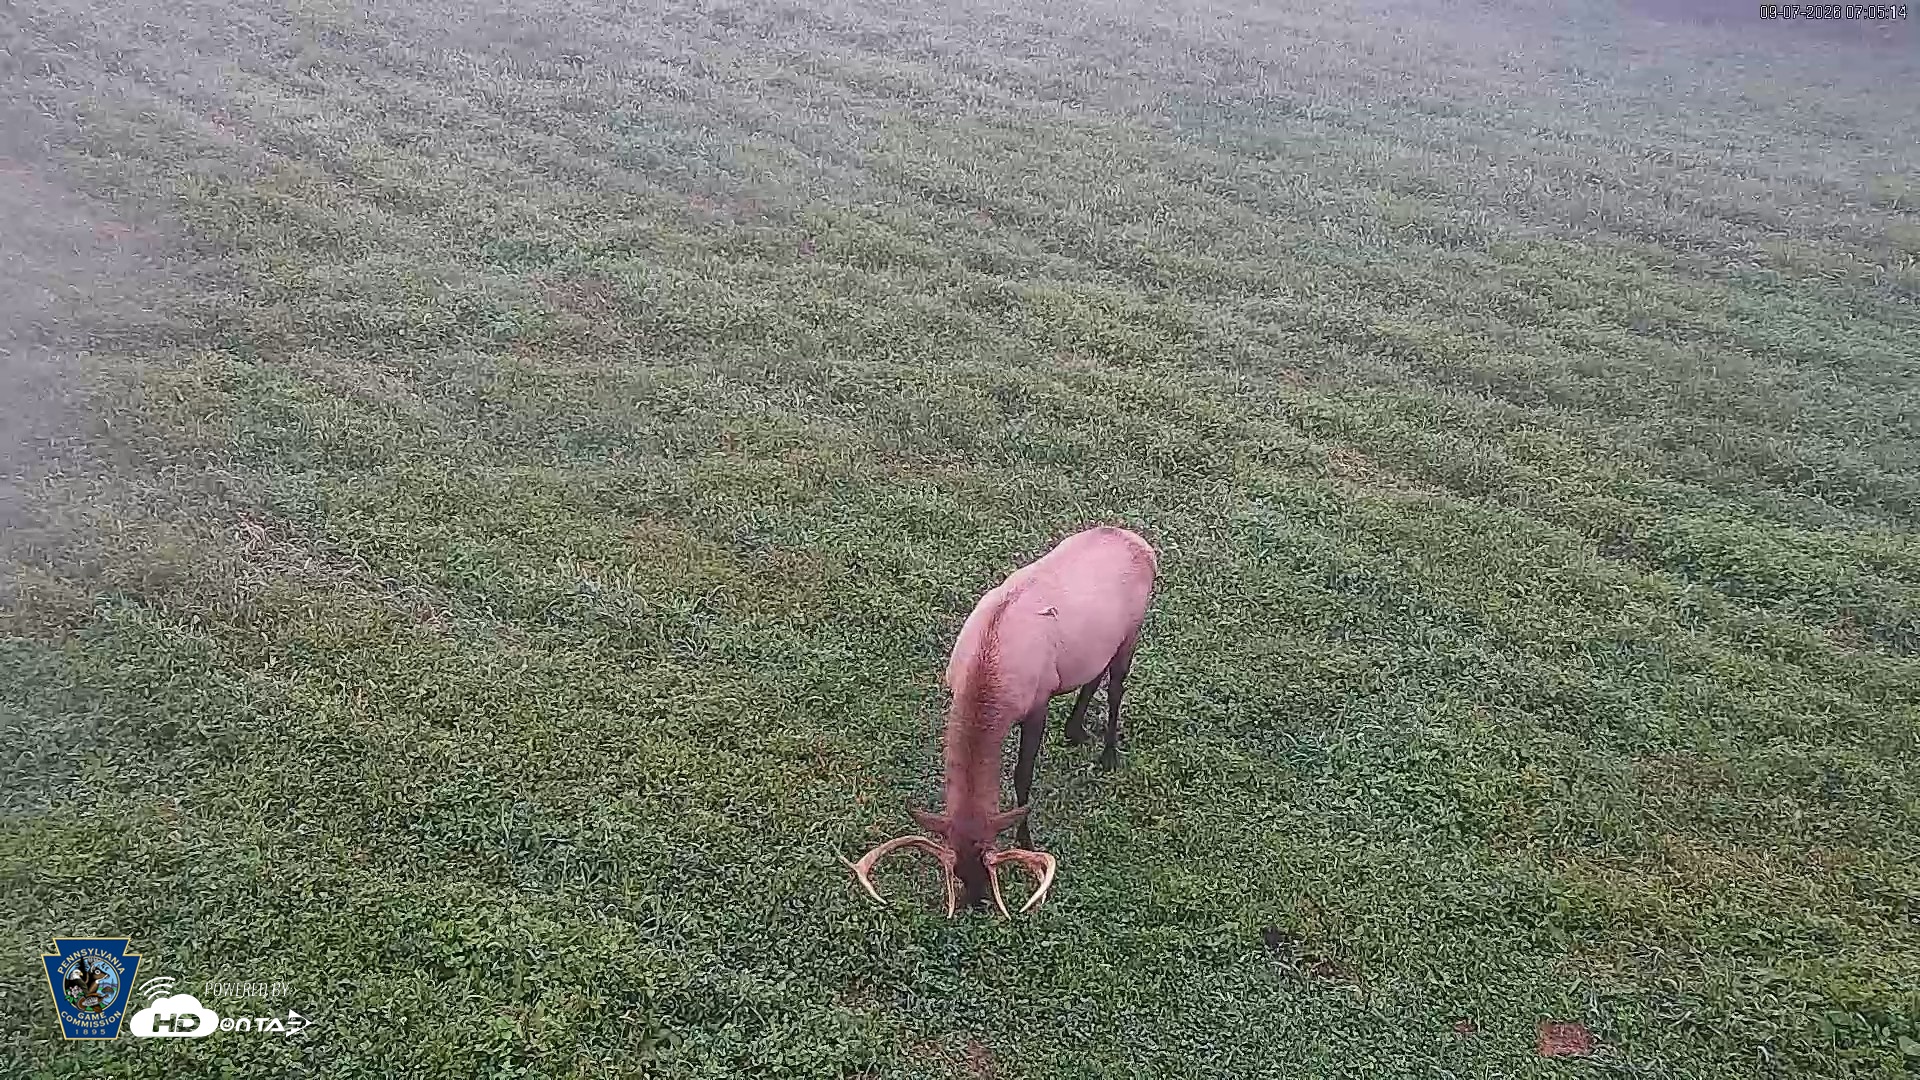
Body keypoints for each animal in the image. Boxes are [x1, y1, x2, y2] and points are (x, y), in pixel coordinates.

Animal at [846, 525, 1158, 917]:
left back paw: (1109, 755)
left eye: (989, 858)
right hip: (1099, 642)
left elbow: (1022, 776)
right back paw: (1074, 731)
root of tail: (1143, 545)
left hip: (1132, 631)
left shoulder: (1038, 702)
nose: (978, 903)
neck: (987, 678)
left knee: (1116, 686)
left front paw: (1026, 838)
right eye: (956, 868)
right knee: (1093, 675)